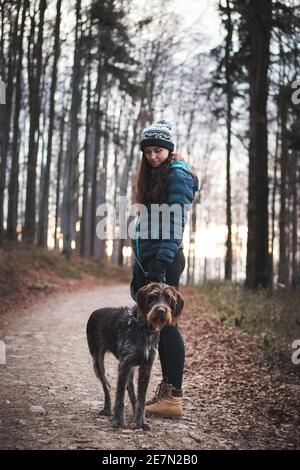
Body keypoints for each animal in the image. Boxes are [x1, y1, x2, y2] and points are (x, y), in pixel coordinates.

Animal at [86, 280, 184, 432]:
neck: (145, 329)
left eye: (169, 299)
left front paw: (140, 422)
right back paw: (107, 409)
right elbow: (120, 395)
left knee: (131, 392)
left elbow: (141, 398)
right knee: (107, 386)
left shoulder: (146, 367)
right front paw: (119, 422)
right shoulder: (124, 364)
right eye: (153, 297)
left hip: (130, 370)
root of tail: (95, 312)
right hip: (98, 362)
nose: (161, 311)